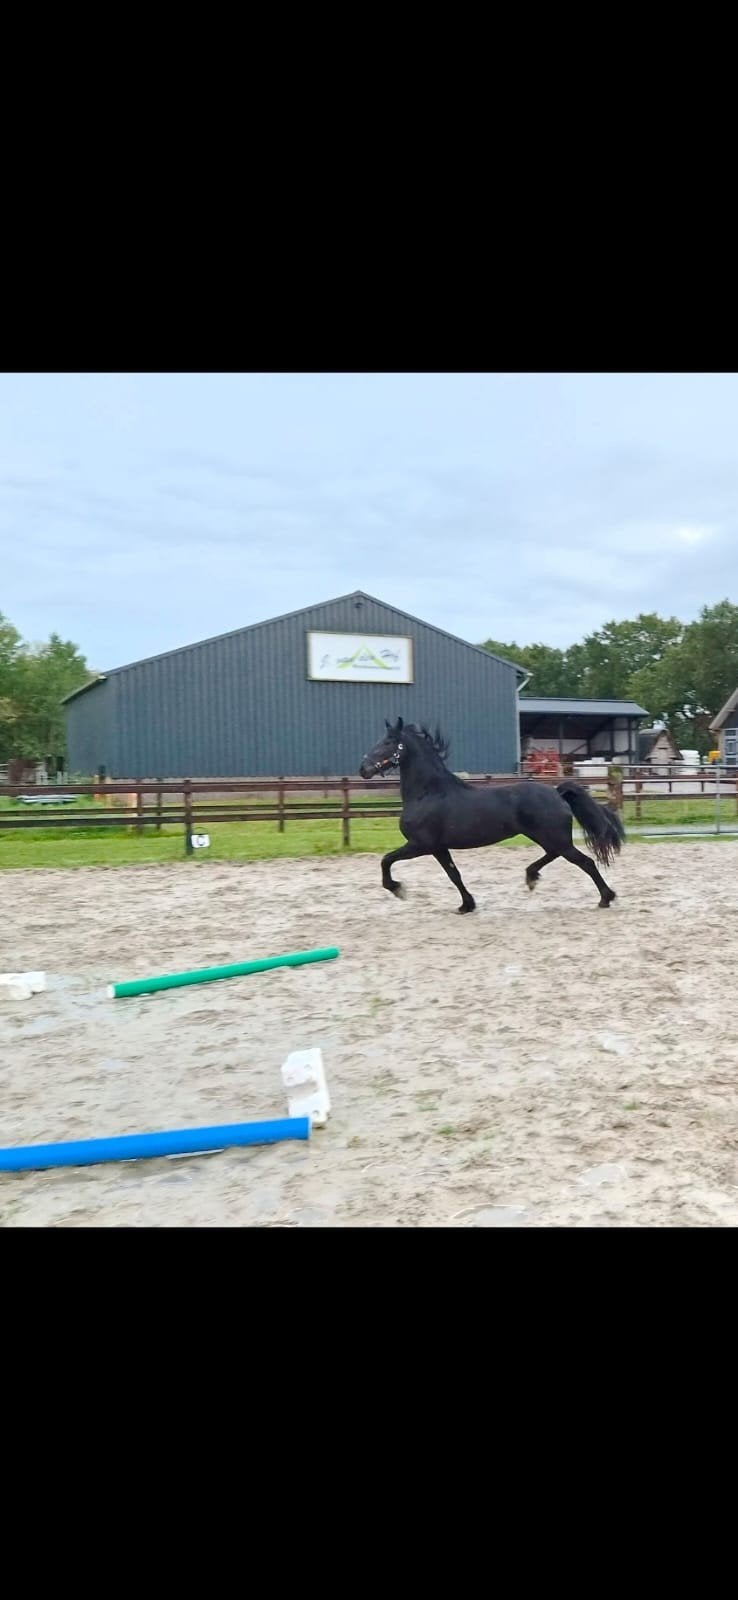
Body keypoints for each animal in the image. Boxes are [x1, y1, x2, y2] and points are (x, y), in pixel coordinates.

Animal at [359, 717, 625, 913]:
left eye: (388, 742)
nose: (363, 769)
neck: (428, 793)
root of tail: (556, 792)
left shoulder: (420, 845)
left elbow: (386, 860)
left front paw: (397, 889)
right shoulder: (439, 848)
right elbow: (454, 874)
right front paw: (467, 905)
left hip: (554, 838)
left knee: (585, 862)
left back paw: (605, 898)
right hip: (547, 837)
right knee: (554, 855)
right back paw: (531, 877)